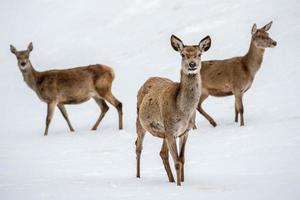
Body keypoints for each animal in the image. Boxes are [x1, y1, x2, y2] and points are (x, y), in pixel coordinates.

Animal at [135, 34, 211, 186]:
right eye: (183, 54)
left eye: (199, 54)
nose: (192, 64)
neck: (184, 112)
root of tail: (147, 80)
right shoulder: (171, 130)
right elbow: (177, 162)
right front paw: (179, 185)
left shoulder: (185, 132)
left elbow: (182, 159)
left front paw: (182, 181)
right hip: (140, 121)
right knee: (138, 147)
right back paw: (138, 177)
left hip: (164, 133)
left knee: (162, 153)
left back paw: (170, 180)